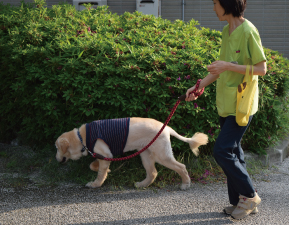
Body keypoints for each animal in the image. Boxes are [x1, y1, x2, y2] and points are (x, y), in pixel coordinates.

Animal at [54, 118, 207, 190]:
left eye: (56, 148)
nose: (56, 159)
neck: (82, 137)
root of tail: (167, 128)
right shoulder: (103, 155)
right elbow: (96, 166)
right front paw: (101, 168)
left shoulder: (105, 153)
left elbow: (100, 174)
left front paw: (95, 184)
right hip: (145, 154)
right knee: (153, 173)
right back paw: (142, 185)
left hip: (162, 155)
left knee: (181, 167)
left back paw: (185, 184)